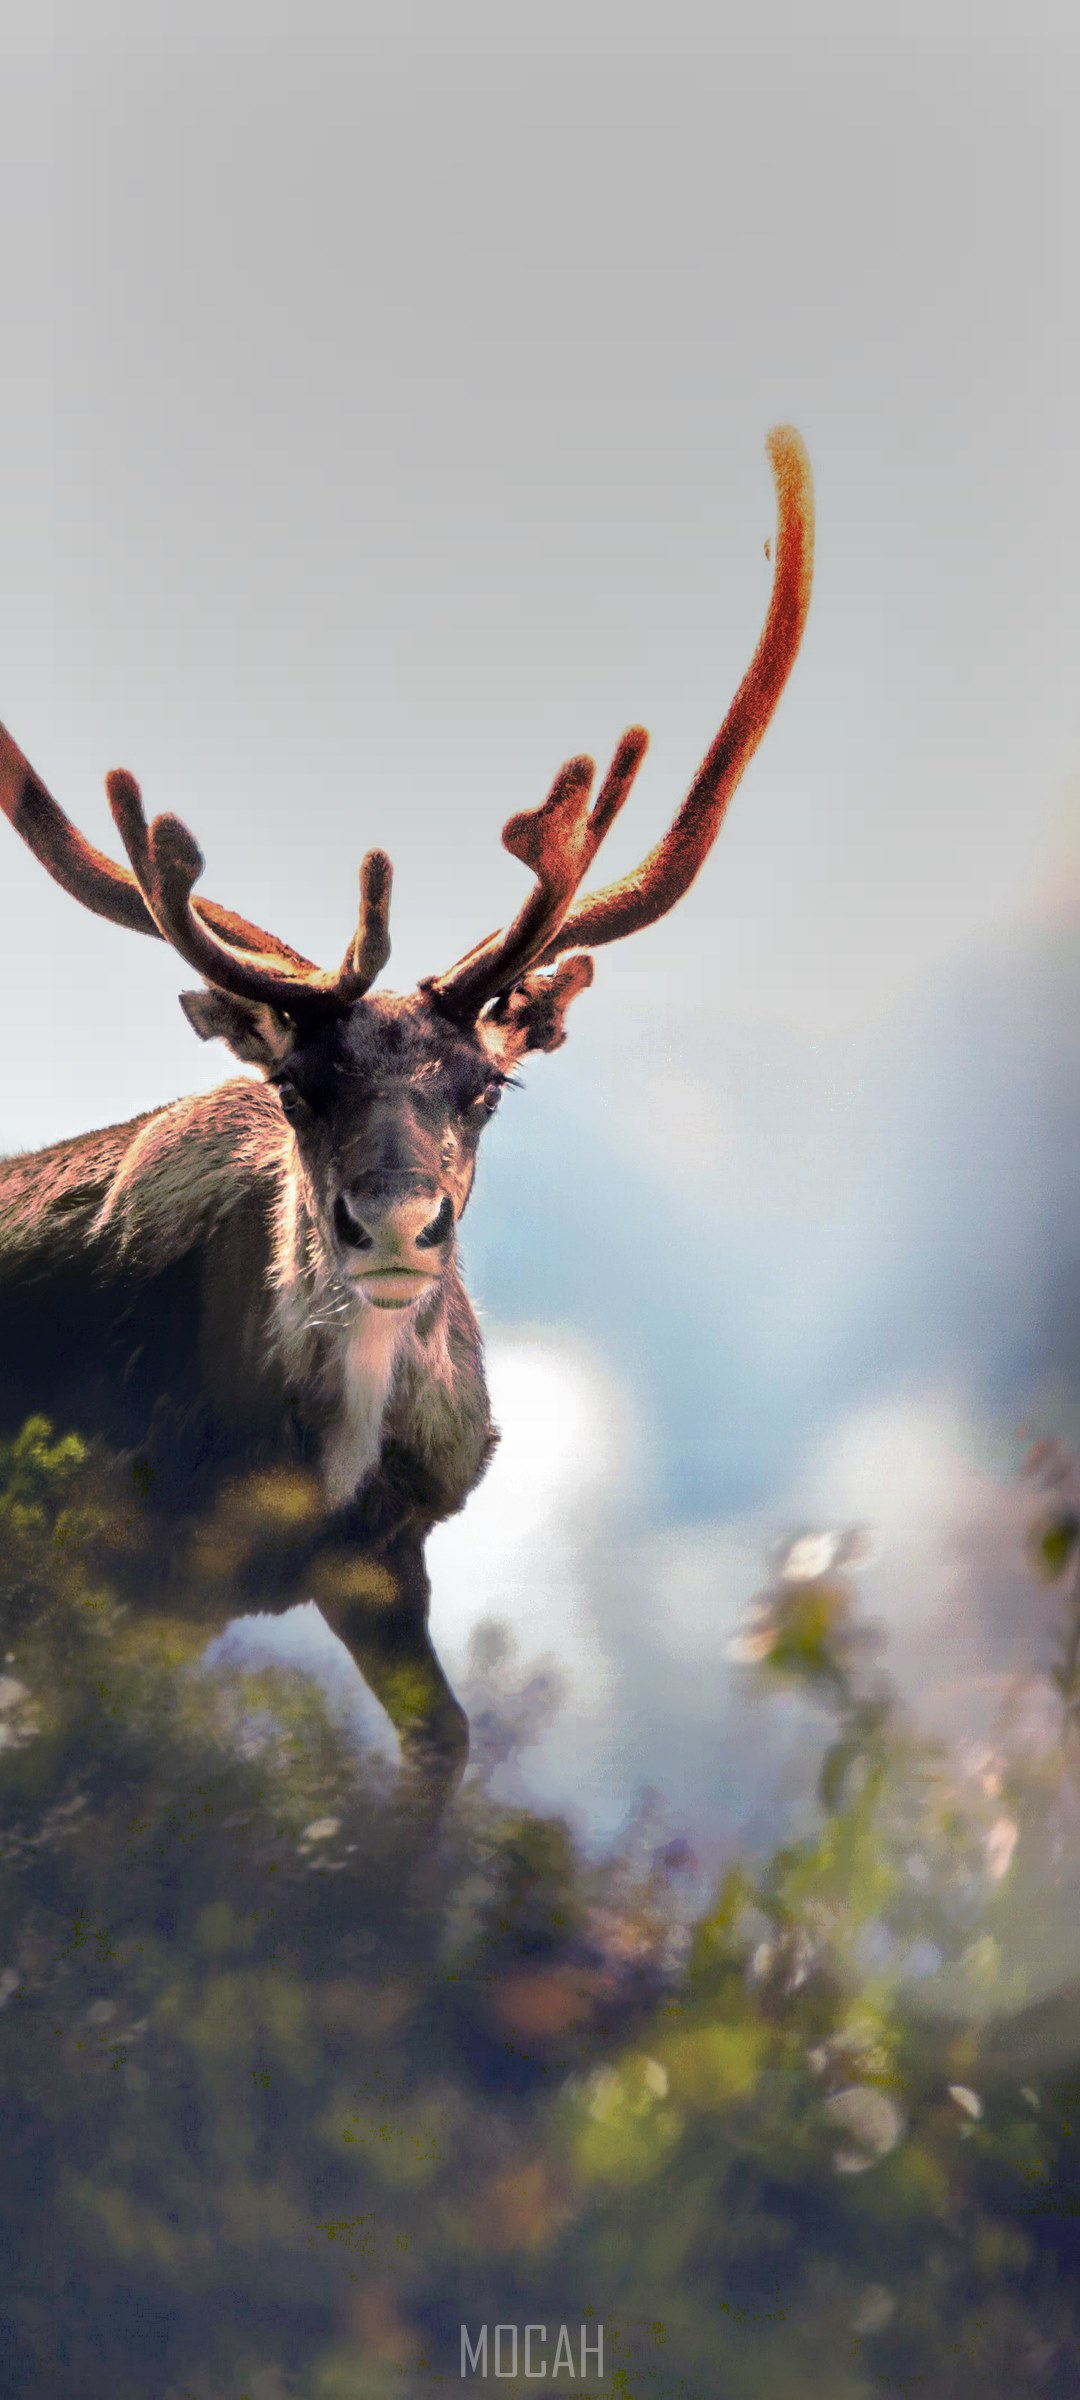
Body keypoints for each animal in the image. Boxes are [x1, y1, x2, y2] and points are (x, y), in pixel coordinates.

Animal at [0, 427, 813, 1823]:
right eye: (295, 1086)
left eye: (486, 1086)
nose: (392, 1224)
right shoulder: (98, 1579)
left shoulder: (380, 1560)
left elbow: (445, 1750)